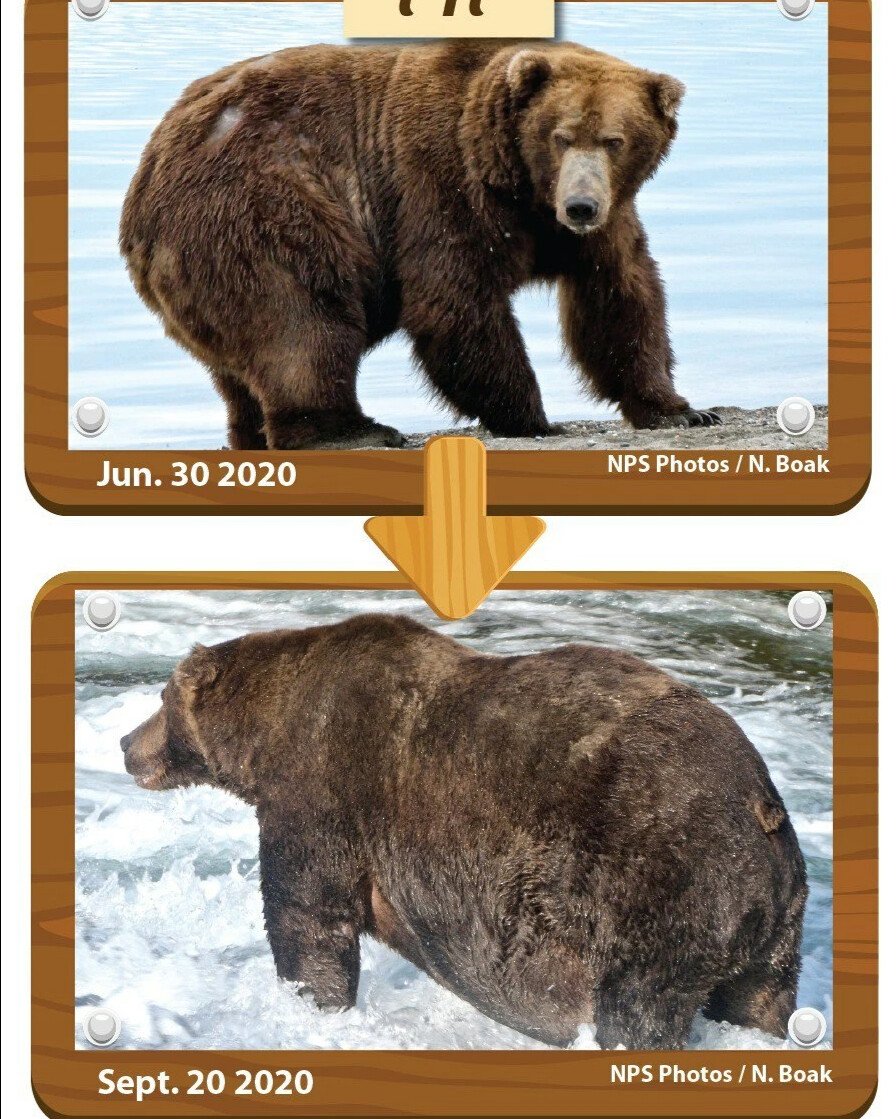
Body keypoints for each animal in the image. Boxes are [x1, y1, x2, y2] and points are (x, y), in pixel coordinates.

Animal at [120, 40, 722, 451]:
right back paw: (355, 429)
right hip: (259, 205)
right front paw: (535, 419)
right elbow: (454, 300)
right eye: (562, 136)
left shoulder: (603, 221)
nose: (580, 206)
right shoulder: (440, 183)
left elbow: (621, 296)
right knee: (303, 318)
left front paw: (679, 408)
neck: (519, 186)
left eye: (614, 140)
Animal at [120, 614, 806, 1049]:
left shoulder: (321, 788)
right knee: (758, 1001)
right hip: (771, 926)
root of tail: (761, 806)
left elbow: (307, 914)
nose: (127, 744)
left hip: (658, 888)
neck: (263, 735)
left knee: (636, 1011)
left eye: (161, 698)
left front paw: (311, 1004)